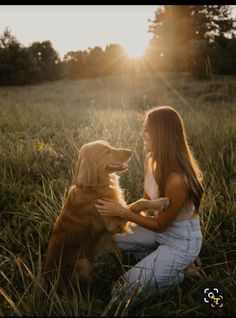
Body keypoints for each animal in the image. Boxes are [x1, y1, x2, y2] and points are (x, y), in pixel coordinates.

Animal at [43, 140, 170, 290]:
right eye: (107, 151)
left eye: (110, 146)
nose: (130, 152)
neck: (93, 188)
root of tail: (48, 283)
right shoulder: (112, 224)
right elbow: (138, 203)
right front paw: (161, 202)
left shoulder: (110, 235)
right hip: (82, 263)